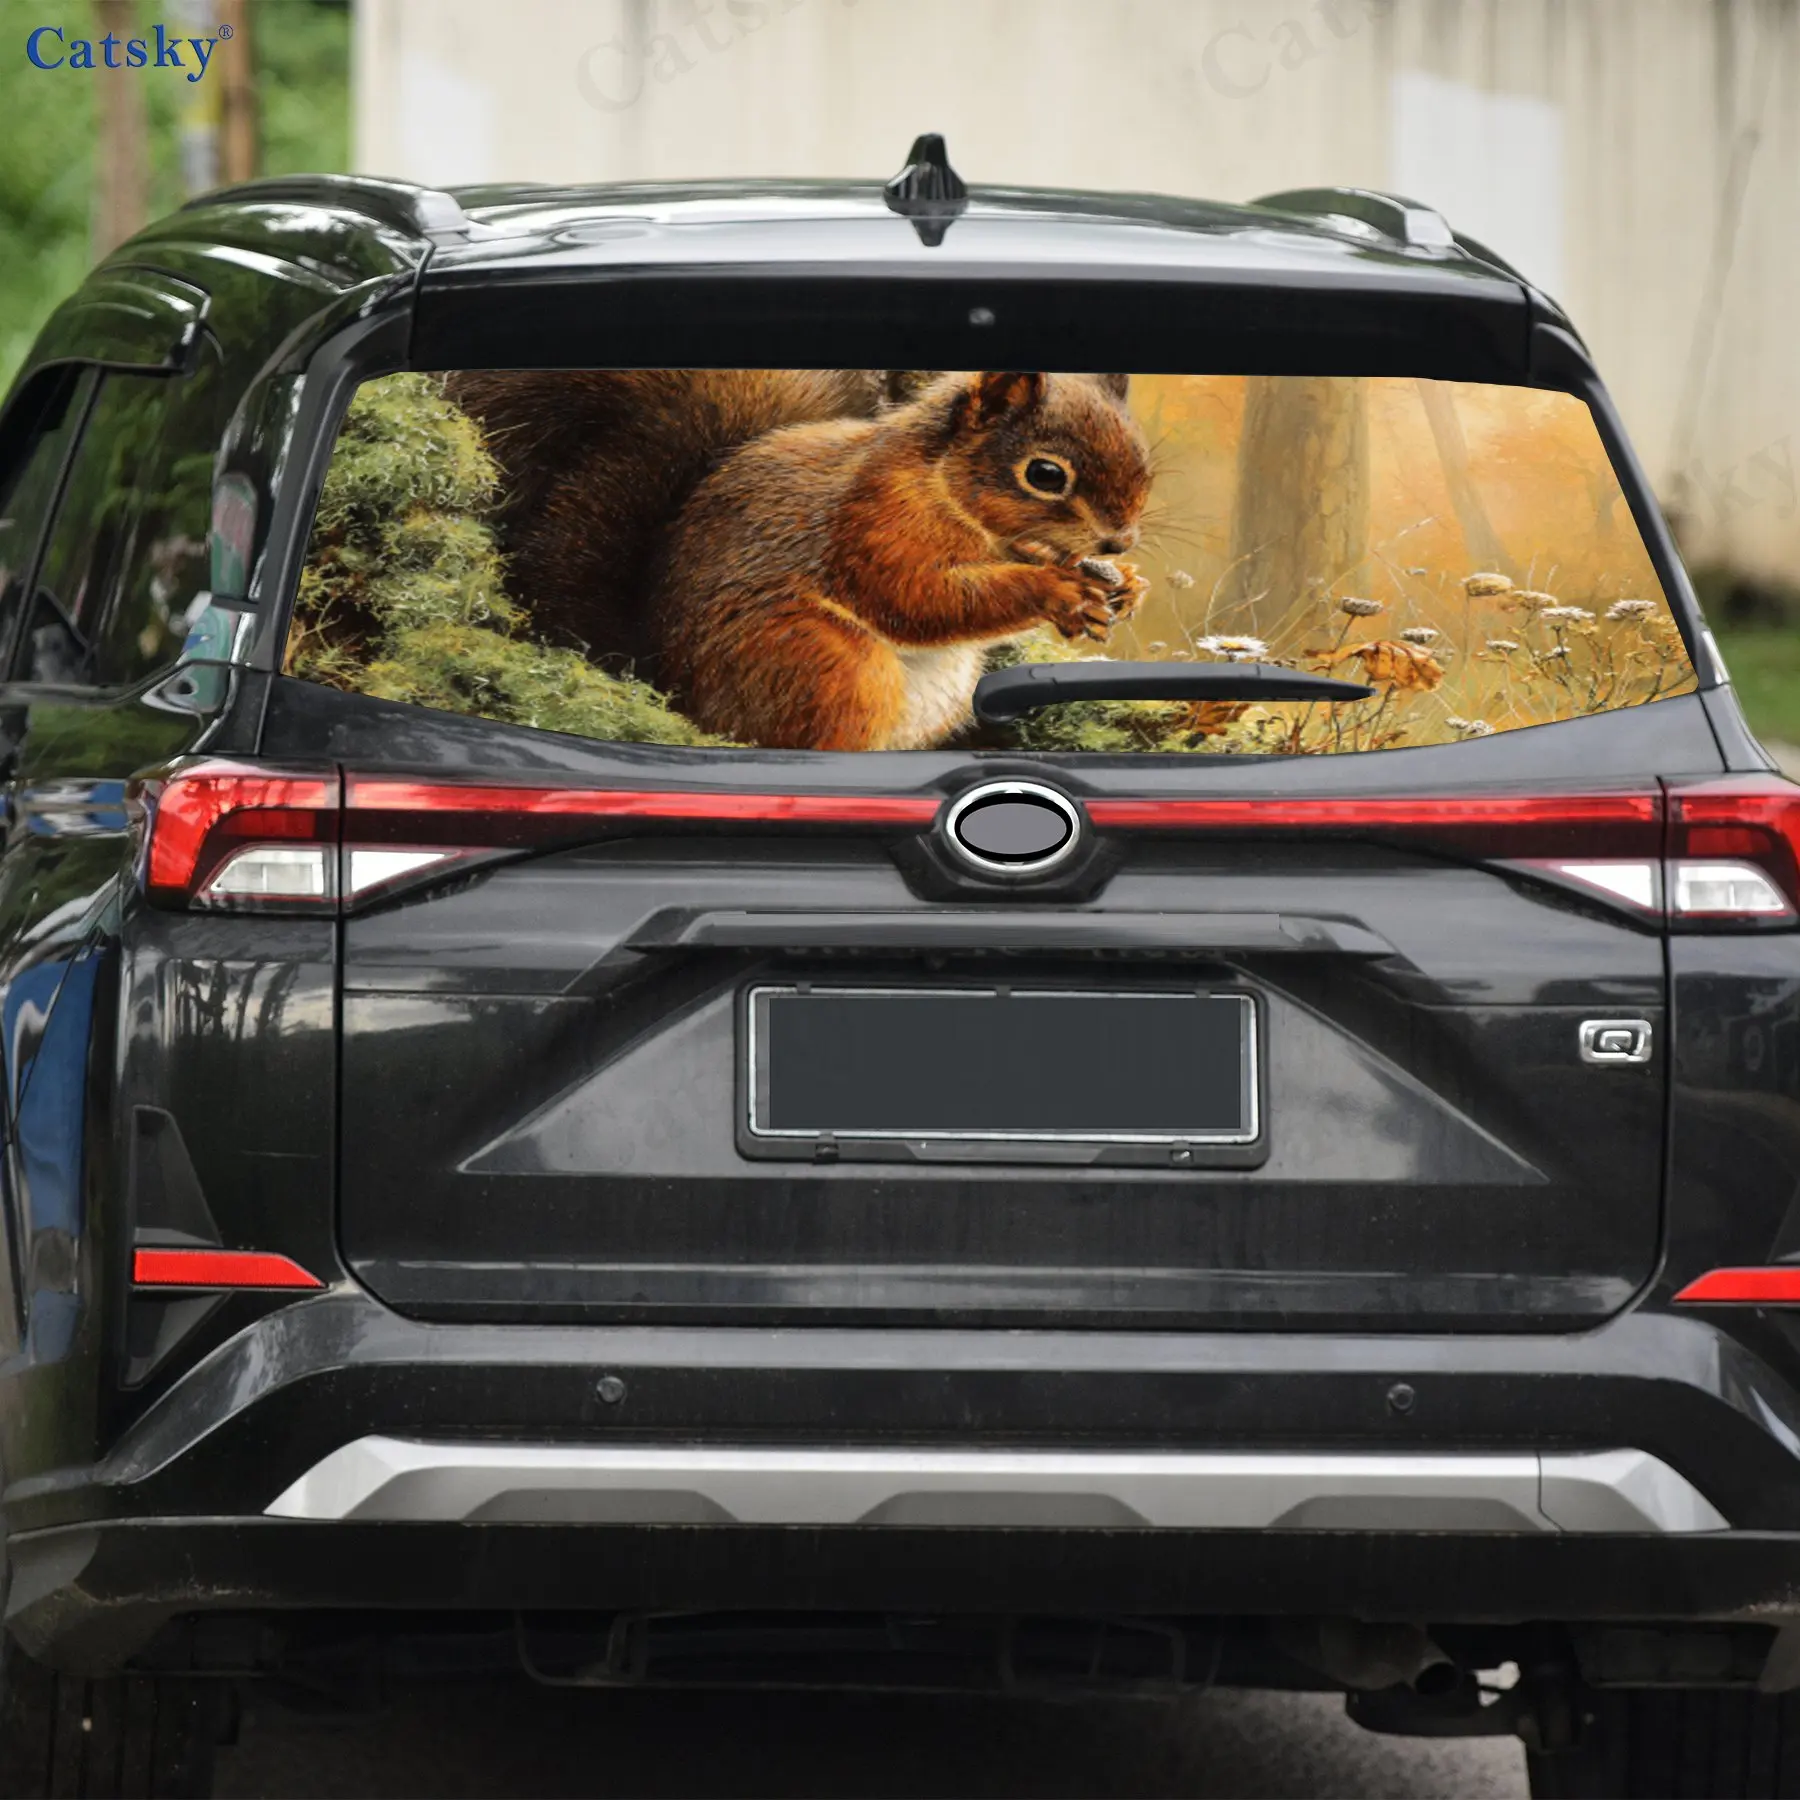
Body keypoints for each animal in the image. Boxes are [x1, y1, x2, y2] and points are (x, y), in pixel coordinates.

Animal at [445, 368, 1153, 750]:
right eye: (1044, 474)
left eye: (1142, 457)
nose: (1119, 541)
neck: (943, 486)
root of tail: (680, 696)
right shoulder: (870, 524)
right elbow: (916, 599)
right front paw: (1058, 591)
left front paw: (1125, 586)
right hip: (825, 664)